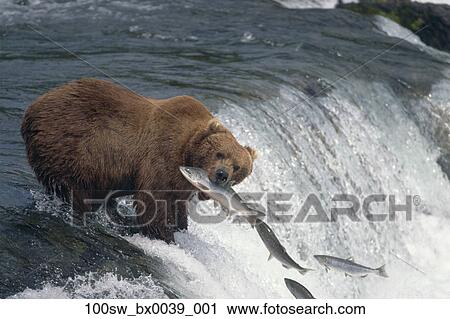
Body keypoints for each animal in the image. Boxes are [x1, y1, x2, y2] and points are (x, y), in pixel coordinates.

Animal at [21, 79, 256, 242]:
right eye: (220, 153)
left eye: (238, 167)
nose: (222, 174)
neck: (187, 149)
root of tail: (32, 109)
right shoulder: (162, 153)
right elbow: (153, 199)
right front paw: (163, 234)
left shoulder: (181, 181)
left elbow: (176, 203)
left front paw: (179, 226)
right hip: (74, 145)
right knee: (77, 189)